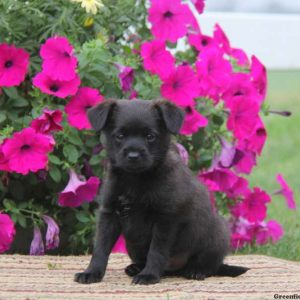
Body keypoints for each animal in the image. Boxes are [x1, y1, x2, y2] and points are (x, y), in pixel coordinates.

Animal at [73, 99, 248, 284]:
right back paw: (136, 267)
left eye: (150, 136)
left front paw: (149, 275)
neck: (136, 178)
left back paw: (196, 271)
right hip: (132, 245)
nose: (133, 155)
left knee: (211, 265)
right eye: (120, 135)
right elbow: (100, 247)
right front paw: (92, 272)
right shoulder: (110, 213)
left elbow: (156, 251)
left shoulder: (165, 219)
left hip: (218, 233)